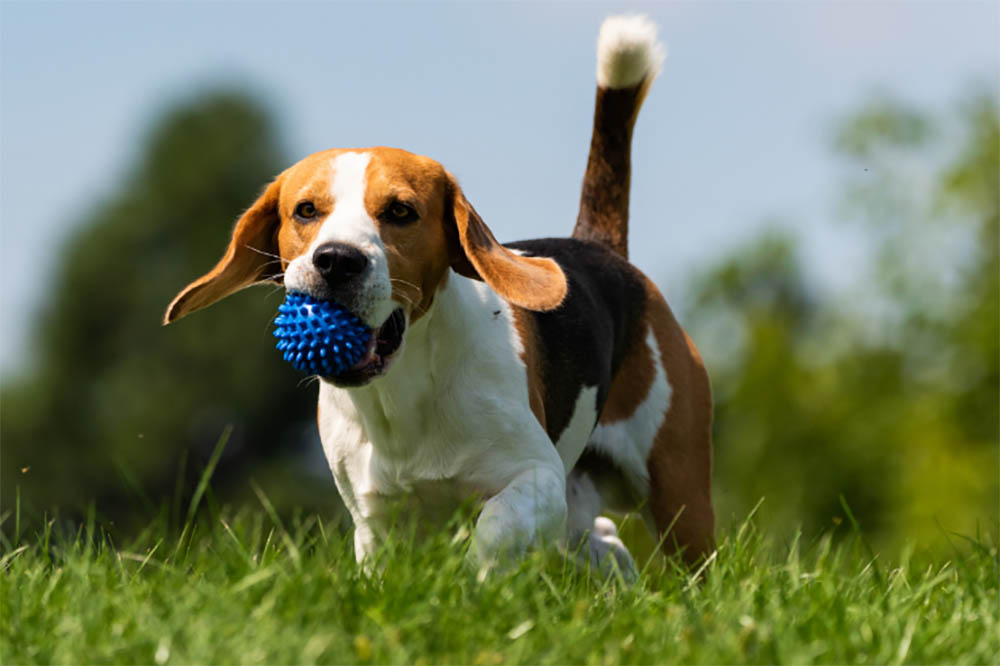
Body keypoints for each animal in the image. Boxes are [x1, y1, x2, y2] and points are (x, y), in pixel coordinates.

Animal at [164, 14, 712, 576]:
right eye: (306, 210)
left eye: (401, 211)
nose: (336, 259)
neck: (402, 393)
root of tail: (600, 247)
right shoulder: (374, 519)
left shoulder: (536, 477)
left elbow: (493, 529)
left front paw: (476, 579)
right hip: (587, 507)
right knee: (605, 539)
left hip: (677, 489)